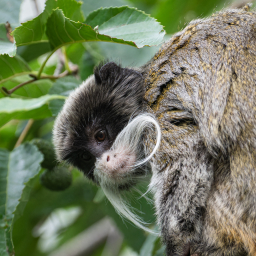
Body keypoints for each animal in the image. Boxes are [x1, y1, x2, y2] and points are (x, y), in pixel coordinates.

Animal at [53, 5, 256, 256]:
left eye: (100, 135)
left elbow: (183, 165)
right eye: (85, 157)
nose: (105, 161)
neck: (144, 94)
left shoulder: (159, 115)